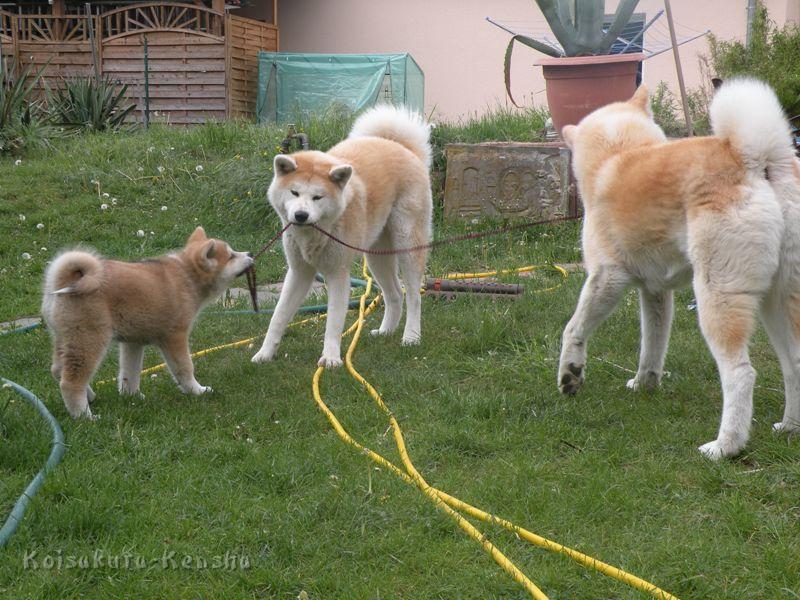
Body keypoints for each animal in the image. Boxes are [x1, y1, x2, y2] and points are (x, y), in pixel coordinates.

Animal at [42, 227, 253, 420]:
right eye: (231, 256)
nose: (250, 254)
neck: (188, 276)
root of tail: (67, 280)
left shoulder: (133, 342)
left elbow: (130, 372)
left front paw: (132, 397)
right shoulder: (175, 336)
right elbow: (184, 368)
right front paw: (197, 391)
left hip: (64, 338)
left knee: (57, 370)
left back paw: (91, 396)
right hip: (89, 338)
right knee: (70, 381)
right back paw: (84, 416)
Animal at [560, 76, 800, 460]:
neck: (618, 152)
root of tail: (754, 160)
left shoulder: (606, 278)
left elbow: (574, 329)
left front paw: (570, 374)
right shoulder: (655, 291)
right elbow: (652, 345)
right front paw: (644, 384)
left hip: (718, 298)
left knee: (741, 374)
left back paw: (726, 446)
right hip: (775, 302)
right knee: (793, 364)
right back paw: (790, 427)